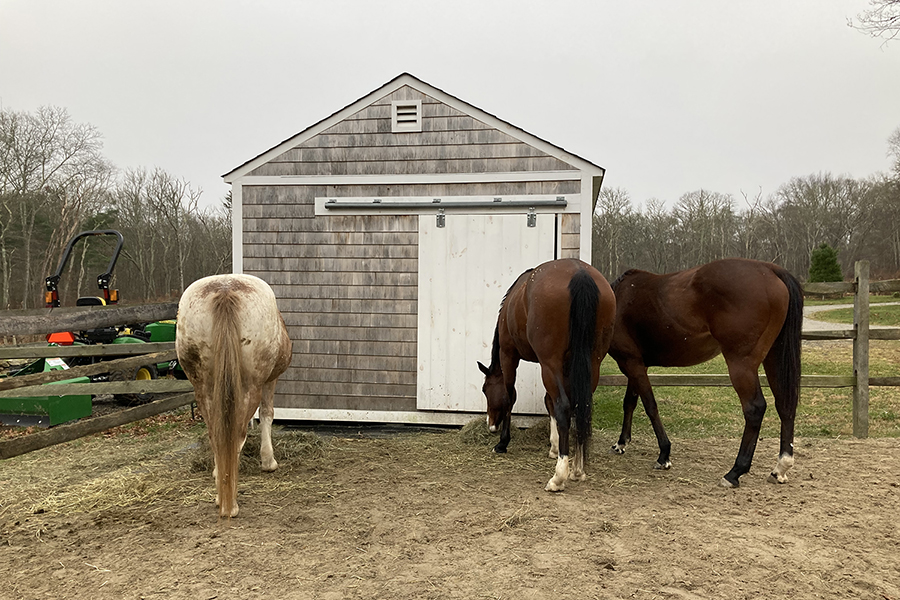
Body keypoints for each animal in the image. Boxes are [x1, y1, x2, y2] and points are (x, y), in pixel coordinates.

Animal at [179, 274, 296, 516]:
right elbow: (267, 414)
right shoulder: (270, 381)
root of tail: (225, 290)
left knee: (217, 435)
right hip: (251, 387)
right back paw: (230, 504)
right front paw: (268, 461)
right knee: (237, 435)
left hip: (204, 389)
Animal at [478, 258, 620, 492]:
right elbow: (548, 401)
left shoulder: (510, 355)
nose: (490, 424)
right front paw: (554, 446)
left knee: (563, 406)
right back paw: (577, 469)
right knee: (580, 407)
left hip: (550, 363)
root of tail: (580, 273)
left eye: (485, 390)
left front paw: (502, 443)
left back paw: (559, 476)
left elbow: (511, 397)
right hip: (592, 363)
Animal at [608, 258, 804, 488]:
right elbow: (630, 402)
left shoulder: (632, 364)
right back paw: (781, 467)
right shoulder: (636, 365)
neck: (616, 301)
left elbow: (650, 406)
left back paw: (735, 472)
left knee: (755, 409)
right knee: (785, 404)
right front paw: (621, 443)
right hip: (774, 356)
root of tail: (770, 270)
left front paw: (664, 454)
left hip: (741, 364)